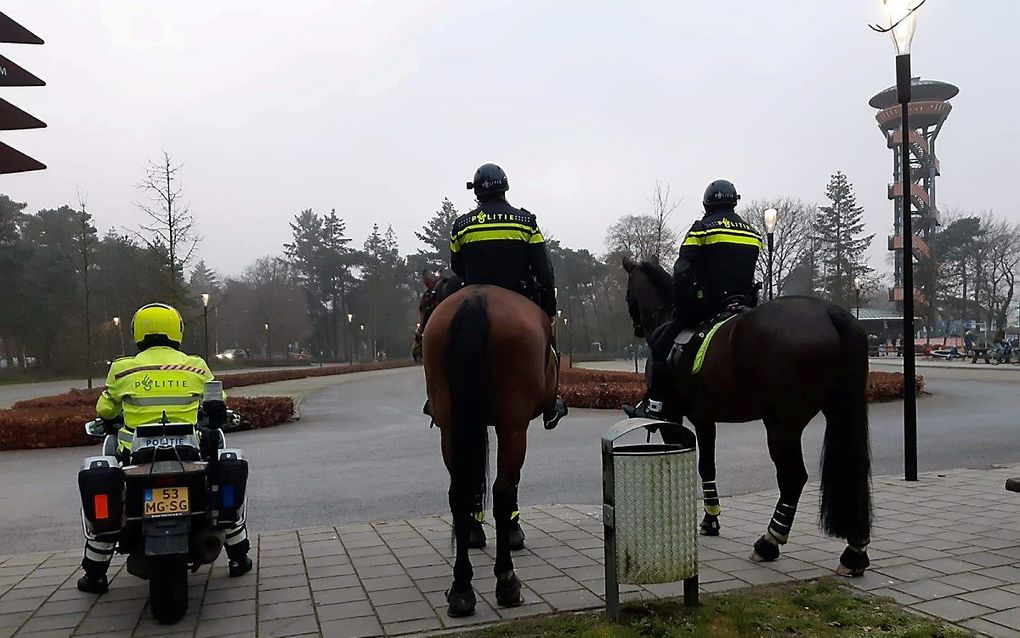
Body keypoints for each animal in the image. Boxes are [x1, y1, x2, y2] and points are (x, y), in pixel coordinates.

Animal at [414, 275, 558, 616]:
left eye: (426, 305)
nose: (415, 347)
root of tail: (476, 300)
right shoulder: (513, 425)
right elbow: (507, 483)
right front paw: (513, 533)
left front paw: (473, 532)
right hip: (512, 423)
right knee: (503, 489)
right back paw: (506, 581)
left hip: (451, 425)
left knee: (459, 490)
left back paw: (461, 588)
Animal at [624, 255, 873, 575]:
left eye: (629, 291)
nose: (636, 327)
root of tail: (829, 313)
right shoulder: (705, 418)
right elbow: (707, 466)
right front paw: (711, 519)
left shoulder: (674, 418)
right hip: (836, 411)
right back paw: (855, 551)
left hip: (782, 424)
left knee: (793, 478)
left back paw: (769, 542)